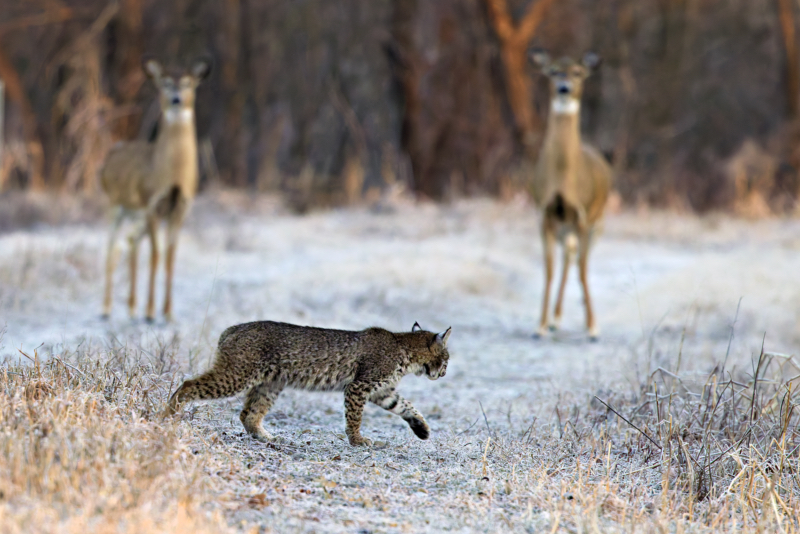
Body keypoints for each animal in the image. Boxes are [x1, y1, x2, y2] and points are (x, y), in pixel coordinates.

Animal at [100, 56, 211, 322]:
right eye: (166, 82)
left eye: (188, 82)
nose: (176, 99)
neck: (171, 176)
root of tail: (110, 155)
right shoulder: (152, 204)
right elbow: (155, 256)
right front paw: (150, 312)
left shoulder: (180, 209)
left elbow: (170, 257)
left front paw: (168, 312)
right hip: (115, 205)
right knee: (111, 249)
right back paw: (107, 308)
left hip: (136, 215)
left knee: (130, 241)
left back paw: (131, 307)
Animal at [532, 51, 612, 344]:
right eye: (553, 71)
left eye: (578, 72)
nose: (564, 88)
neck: (564, 181)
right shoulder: (544, 214)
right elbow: (549, 268)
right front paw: (541, 326)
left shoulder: (583, 216)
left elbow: (583, 269)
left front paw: (593, 328)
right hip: (563, 225)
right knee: (568, 255)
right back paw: (555, 319)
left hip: (598, 221)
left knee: (578, 259)